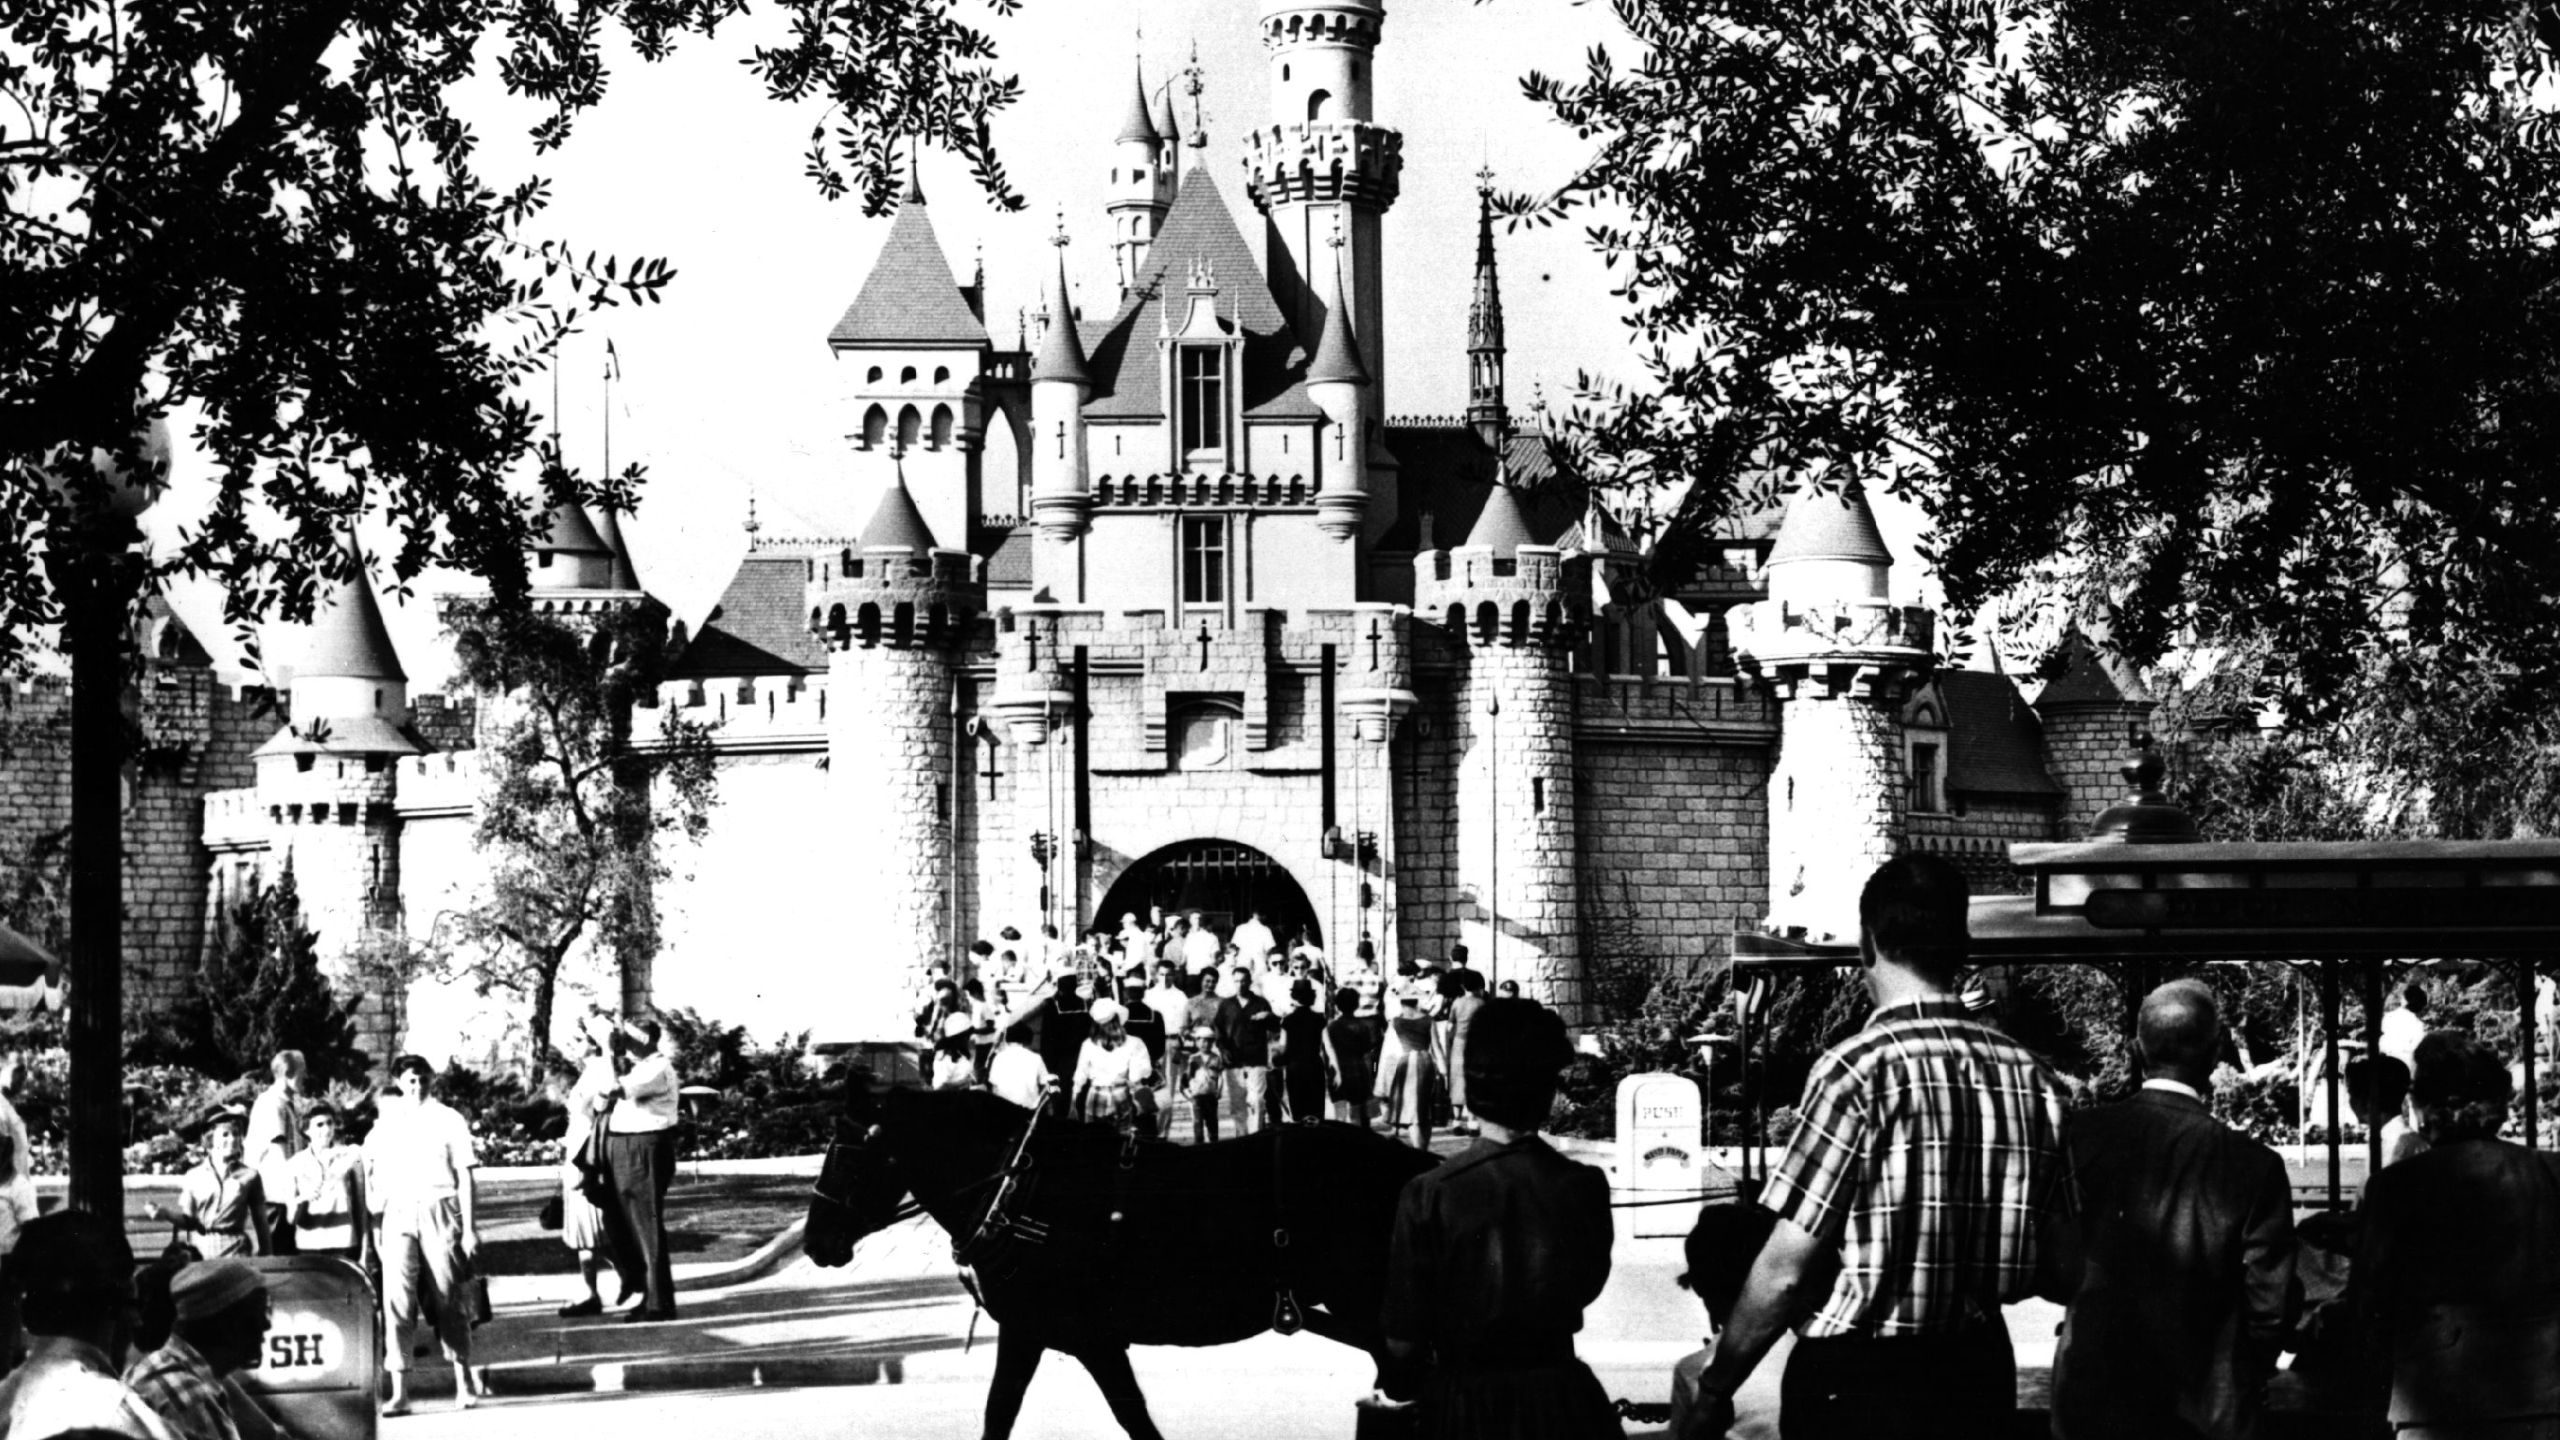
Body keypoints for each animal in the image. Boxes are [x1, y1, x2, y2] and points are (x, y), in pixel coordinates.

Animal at [803, 1076, 1443, 1434]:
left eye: (850, 1153)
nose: (815, 1244)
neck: (1023, 1186)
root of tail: (1413, 1165)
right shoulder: (1043, 1333)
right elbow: (1008, 1411)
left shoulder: (1079, 1336)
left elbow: (1121, 1413)